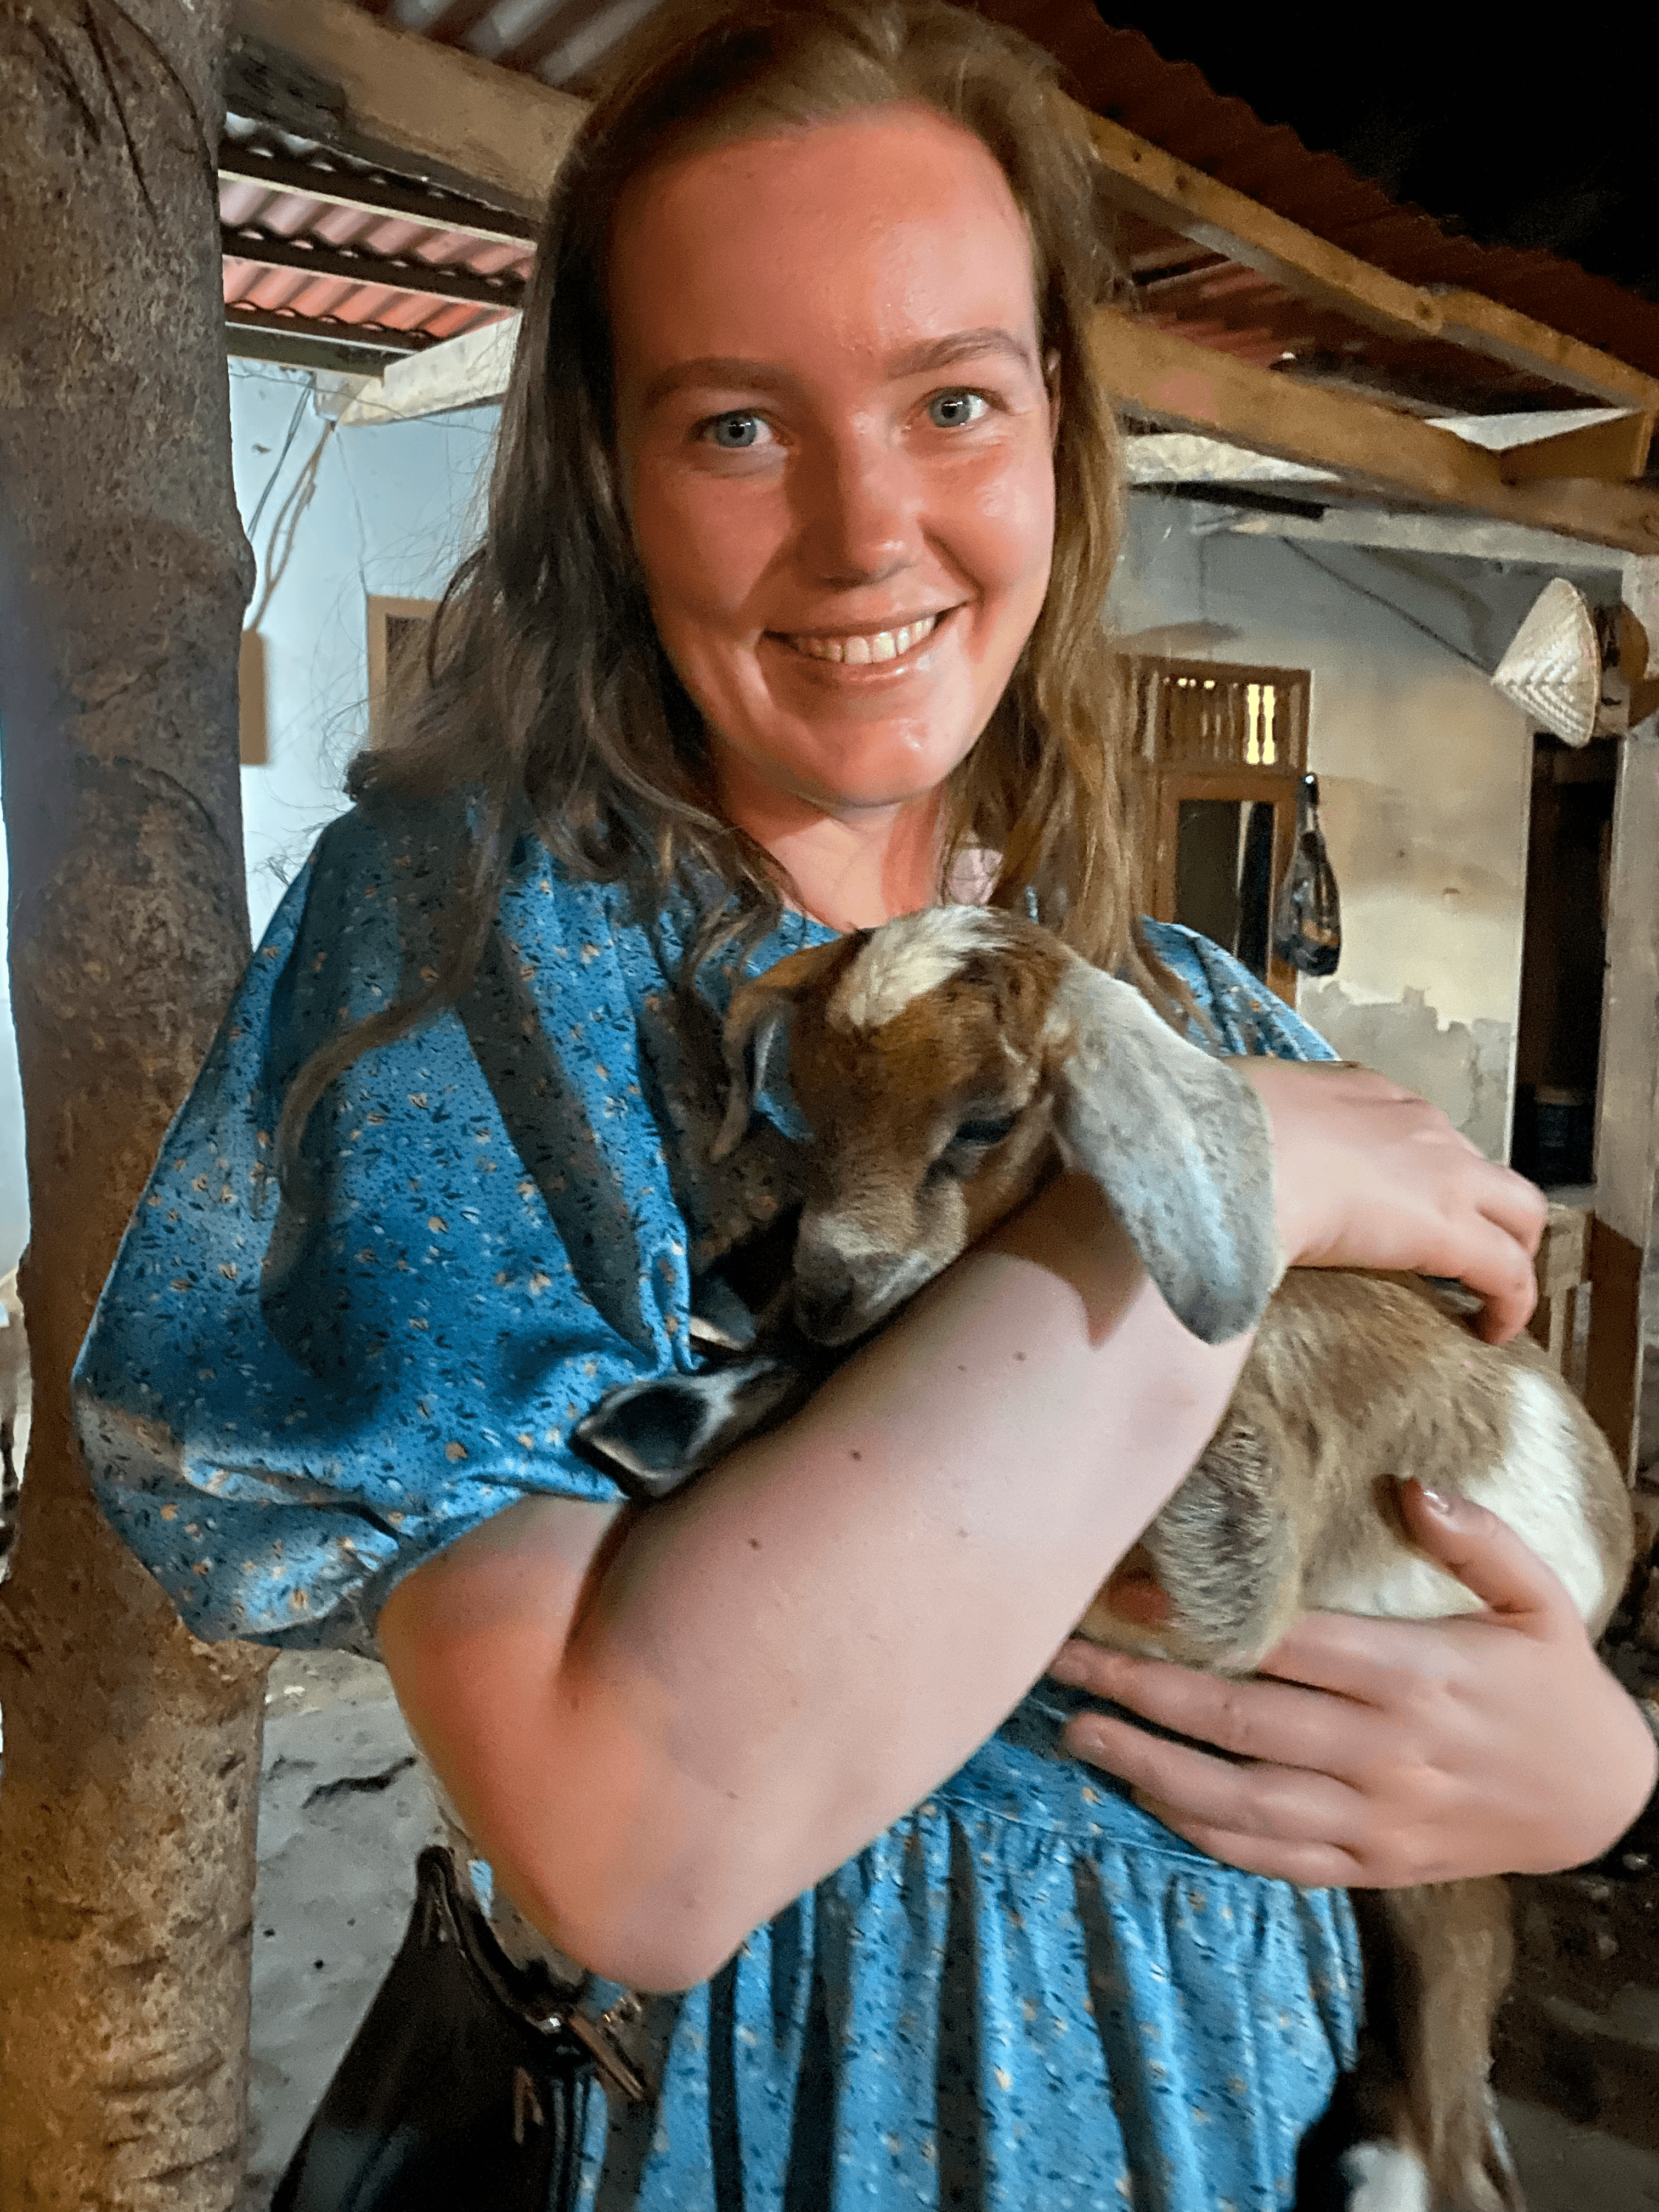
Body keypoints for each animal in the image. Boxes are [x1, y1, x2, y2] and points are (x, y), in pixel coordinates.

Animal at [575, 905, 1635, 2212]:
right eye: (802, 1112)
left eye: (983, 1123)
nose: (827, 1288)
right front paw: (720, 1340)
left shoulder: (1259, 1498)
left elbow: (1211, 1610)